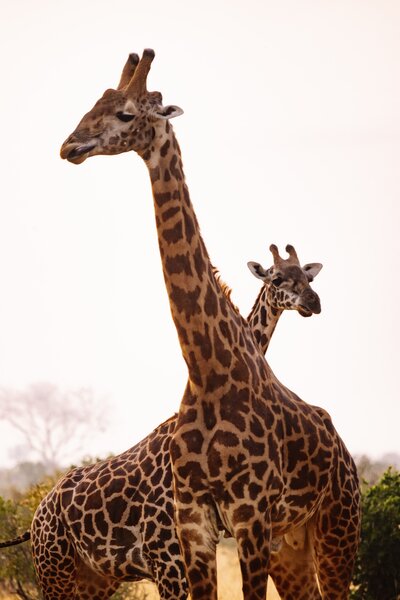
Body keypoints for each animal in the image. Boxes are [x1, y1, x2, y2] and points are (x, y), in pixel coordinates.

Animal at [0, 244, 324, 600]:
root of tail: (35, 518)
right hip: (54, 571)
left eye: (308, 277)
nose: (313, 302)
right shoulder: (167, 561)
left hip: (92, 578)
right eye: (276, 278)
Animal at [58, 49, 360, 596]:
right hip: (290, 543)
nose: (71, 145)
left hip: (335, 527)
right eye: (94, 103)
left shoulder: (249, 515)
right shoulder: (193, 522)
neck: (207, 370)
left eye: (126, 115)